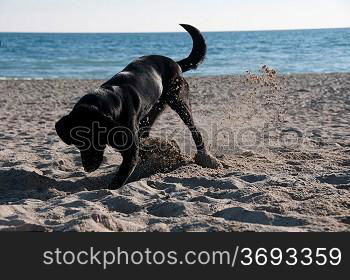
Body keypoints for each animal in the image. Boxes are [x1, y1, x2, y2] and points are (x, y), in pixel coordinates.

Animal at [55, 24, 220, 189]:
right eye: (78, 143)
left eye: (96, 139)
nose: (88, 167)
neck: (111, 100)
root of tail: (175, 63)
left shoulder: (131, 151)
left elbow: (120, 177)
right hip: (154, 108)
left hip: (178, 100)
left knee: (193, 129)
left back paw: (205, 157)